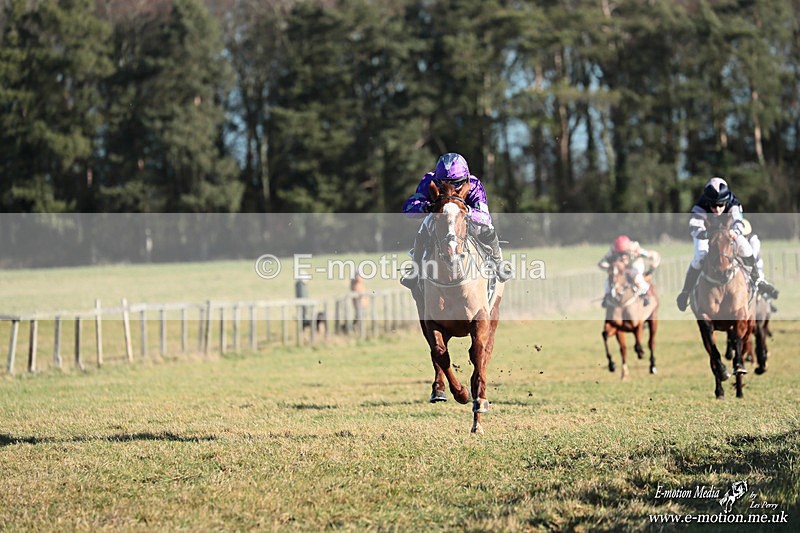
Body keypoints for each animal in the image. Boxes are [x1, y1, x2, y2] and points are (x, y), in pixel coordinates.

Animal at [410, 180, 504, 434]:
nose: (452, 252)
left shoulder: (480, 318)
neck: (453, 278)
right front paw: (460, 393)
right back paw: (439, 390)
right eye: (436, 213)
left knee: (485, 353)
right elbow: (440, 354)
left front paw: (478, 406)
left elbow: (478, 354)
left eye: (463, 213)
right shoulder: (431, 321)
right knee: (436, 353)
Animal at [691, 215, 755, 399]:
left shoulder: (740, 317)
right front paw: (722, 372)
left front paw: (738, 366)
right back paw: (719, 390)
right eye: (710, 243)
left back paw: (739, 388)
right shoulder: (705, 319)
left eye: (731, 241)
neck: (722, 286)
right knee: (712, 357)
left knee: (743, 345)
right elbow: (714, 351)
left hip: (750, 323)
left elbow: (738, 344)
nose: (722, 271)